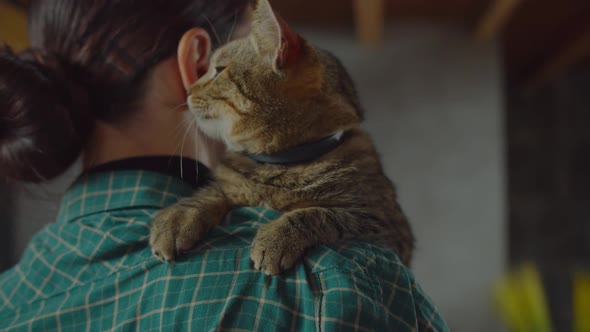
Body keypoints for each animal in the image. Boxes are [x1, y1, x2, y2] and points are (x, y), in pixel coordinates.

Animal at [149, 0, 416, 274]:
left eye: (219, 70)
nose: (189, 89)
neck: (278, 164)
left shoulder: (383, 223)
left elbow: (317, 213)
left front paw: (277, 238)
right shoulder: (229, 188)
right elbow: (210, 194)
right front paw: (177, 218)